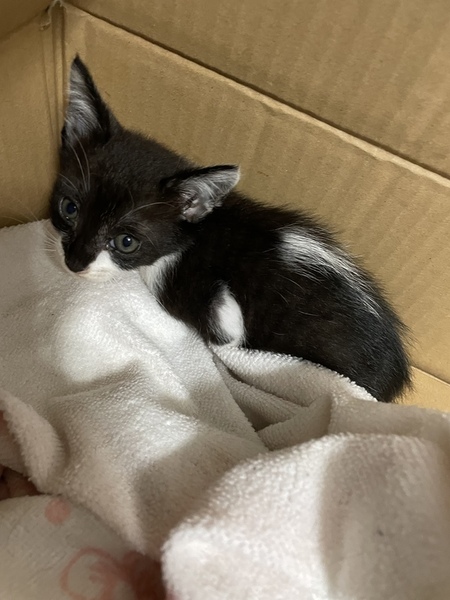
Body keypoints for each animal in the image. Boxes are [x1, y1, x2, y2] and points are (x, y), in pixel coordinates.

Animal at [49, 56, 411, 402]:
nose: (74, 263)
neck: (194, 234)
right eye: (69, 208)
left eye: (126, 242)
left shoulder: (211, 309)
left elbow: (225, 329)